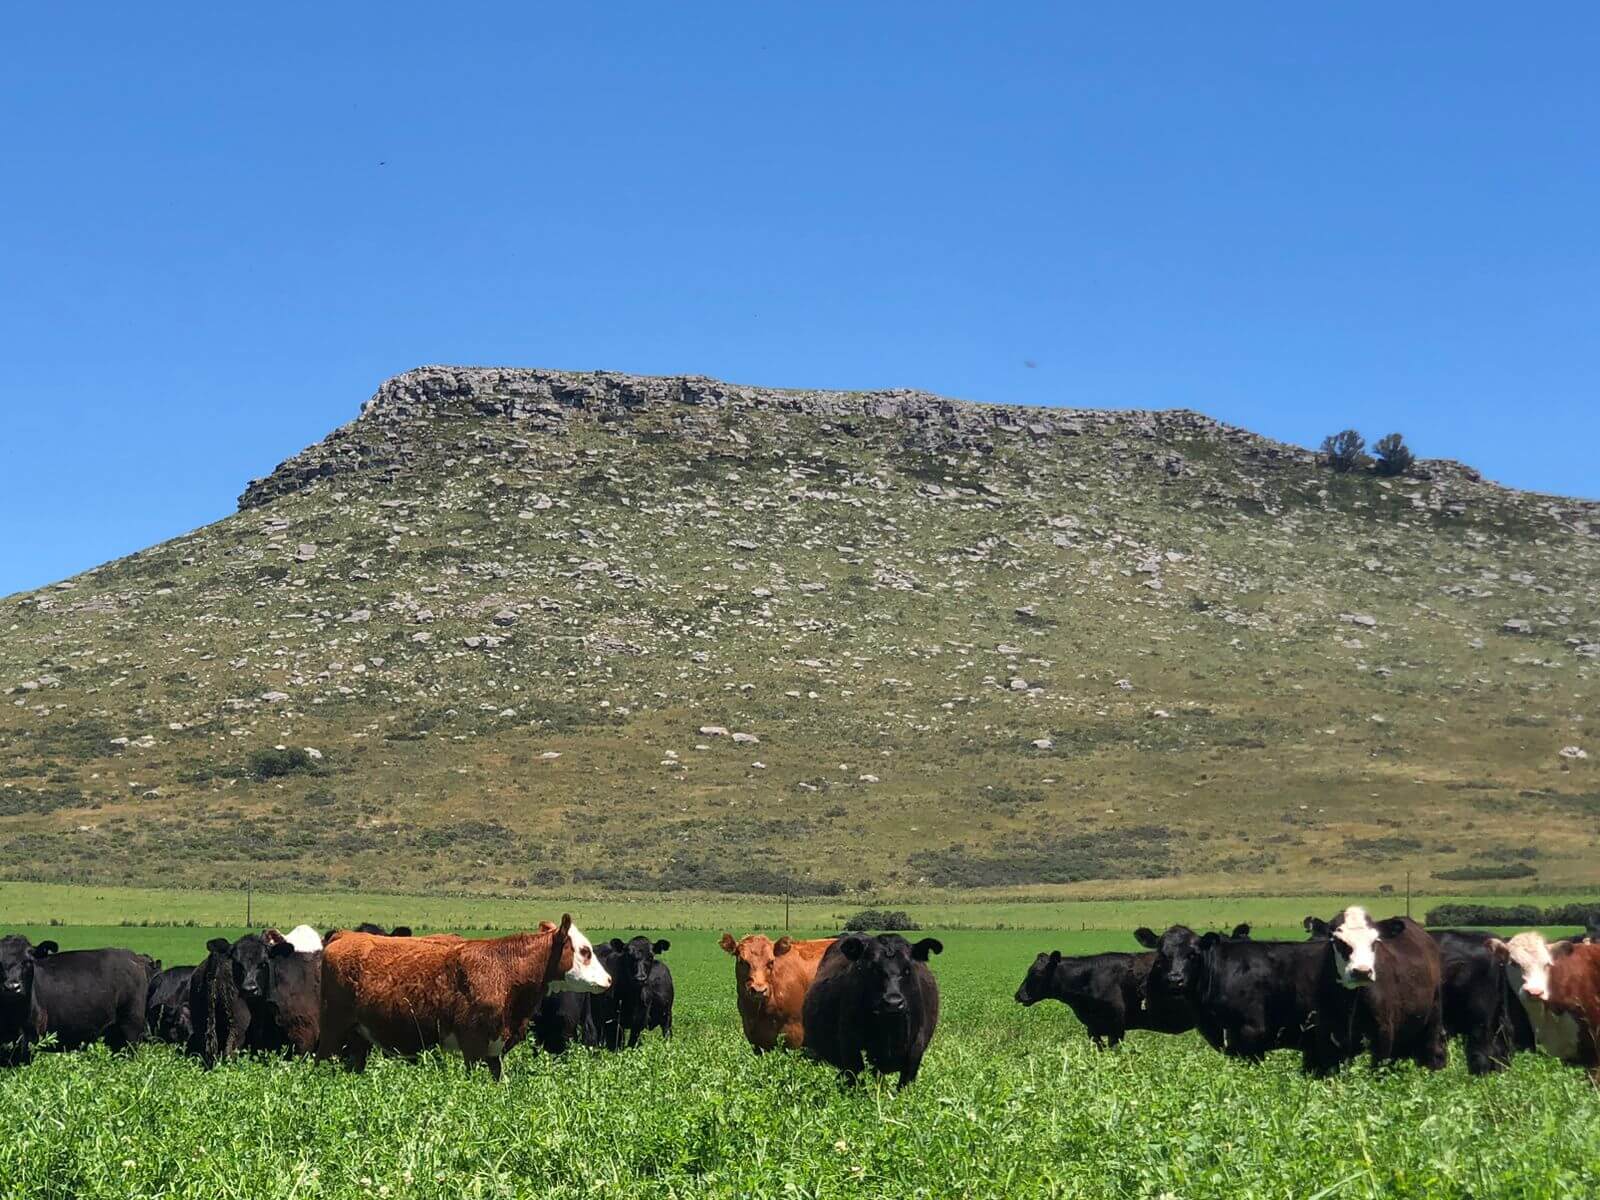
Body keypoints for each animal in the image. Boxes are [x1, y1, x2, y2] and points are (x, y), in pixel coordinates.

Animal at [317, 915, 610, 1080]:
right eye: (584, 951)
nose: (608, 980)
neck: (506, 969)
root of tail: (345, 935)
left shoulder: (494, 1052)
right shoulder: (474, 1045)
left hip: (358, 1037)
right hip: (333, 1030)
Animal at [1303, 908, 1446, 1075]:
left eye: (1374, 942)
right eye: (1339, 941)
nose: (1362, 971)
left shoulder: (1383, 1030)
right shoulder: (1325, 1032)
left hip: (1434, 1012)